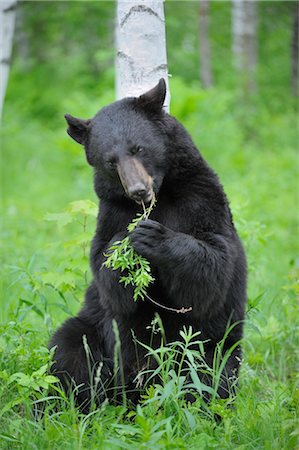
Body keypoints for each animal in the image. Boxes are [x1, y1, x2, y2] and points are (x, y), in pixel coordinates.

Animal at [50, 79, 248, 410]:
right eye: (110, 160)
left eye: (138, 148)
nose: (138, 190)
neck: (160, 197)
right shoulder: (111, 214)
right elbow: (110, 281)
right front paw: (125, 243)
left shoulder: (201, 199)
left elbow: (212, 270)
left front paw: (153, 237)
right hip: (92, 330)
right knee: (69, 357)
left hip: (213, 345)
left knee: (209, 375)